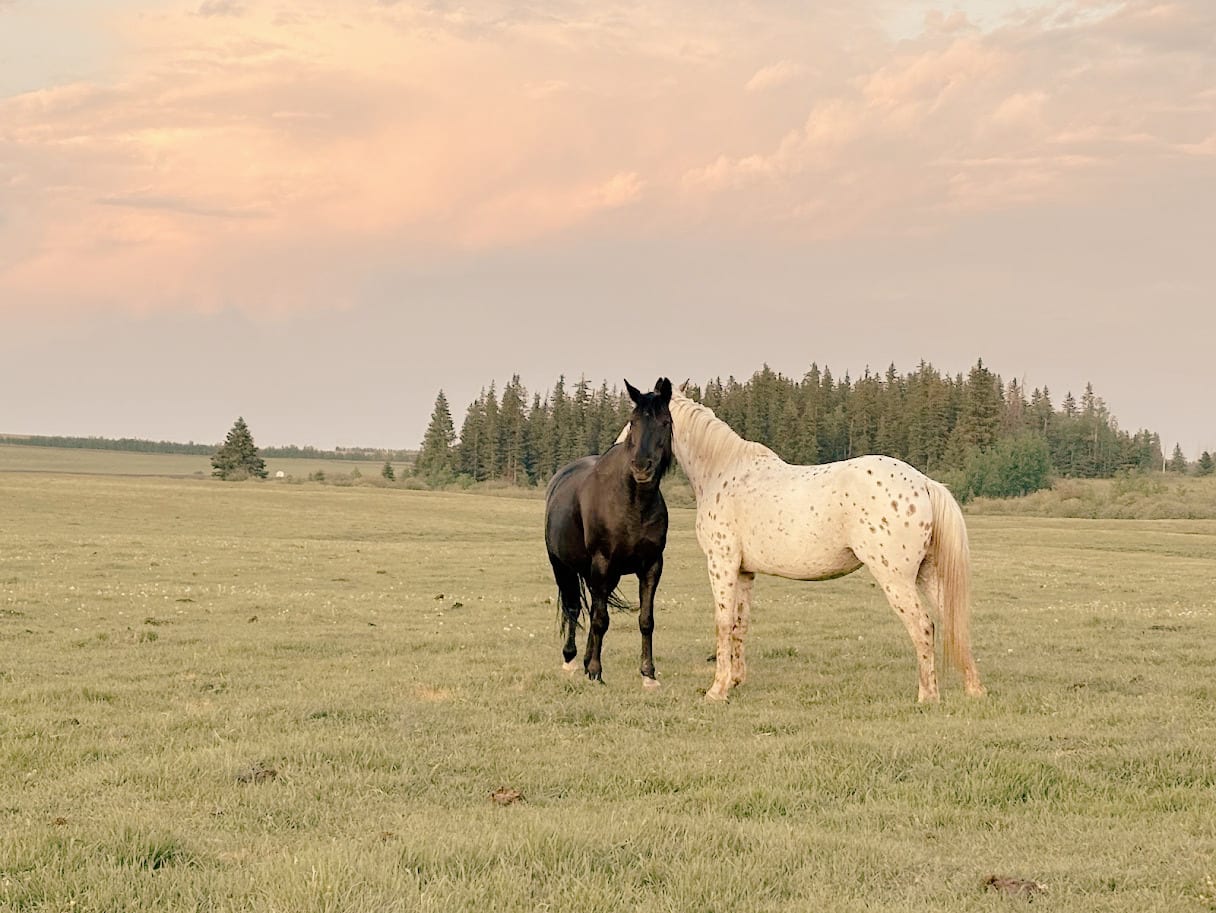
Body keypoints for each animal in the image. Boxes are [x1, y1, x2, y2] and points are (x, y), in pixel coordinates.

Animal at [544, 378, 674, 688]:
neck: (633, 502)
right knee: (573, 608)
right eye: (633, 422)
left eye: (665, 422)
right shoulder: (601, 563)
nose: (641, 467)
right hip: (564, 567)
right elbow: (601, 619)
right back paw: (571, 659)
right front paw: (595, 670)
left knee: (592, 609)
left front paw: (648, 674)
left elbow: (645, 620)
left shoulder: (652, 566)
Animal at [620, 390, 984, 703]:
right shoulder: (745, 572)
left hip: (896, 579)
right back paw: (974, 689)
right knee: (954, 623)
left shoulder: (721, 564)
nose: (637, 467)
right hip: (927, 574)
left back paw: (928, 696)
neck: (723, 470)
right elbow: (740, 624)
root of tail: (924, 483)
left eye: (652, 422)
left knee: (923, 626)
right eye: (634, 421)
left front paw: (717, 690)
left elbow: (722, 623)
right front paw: (735, 680)